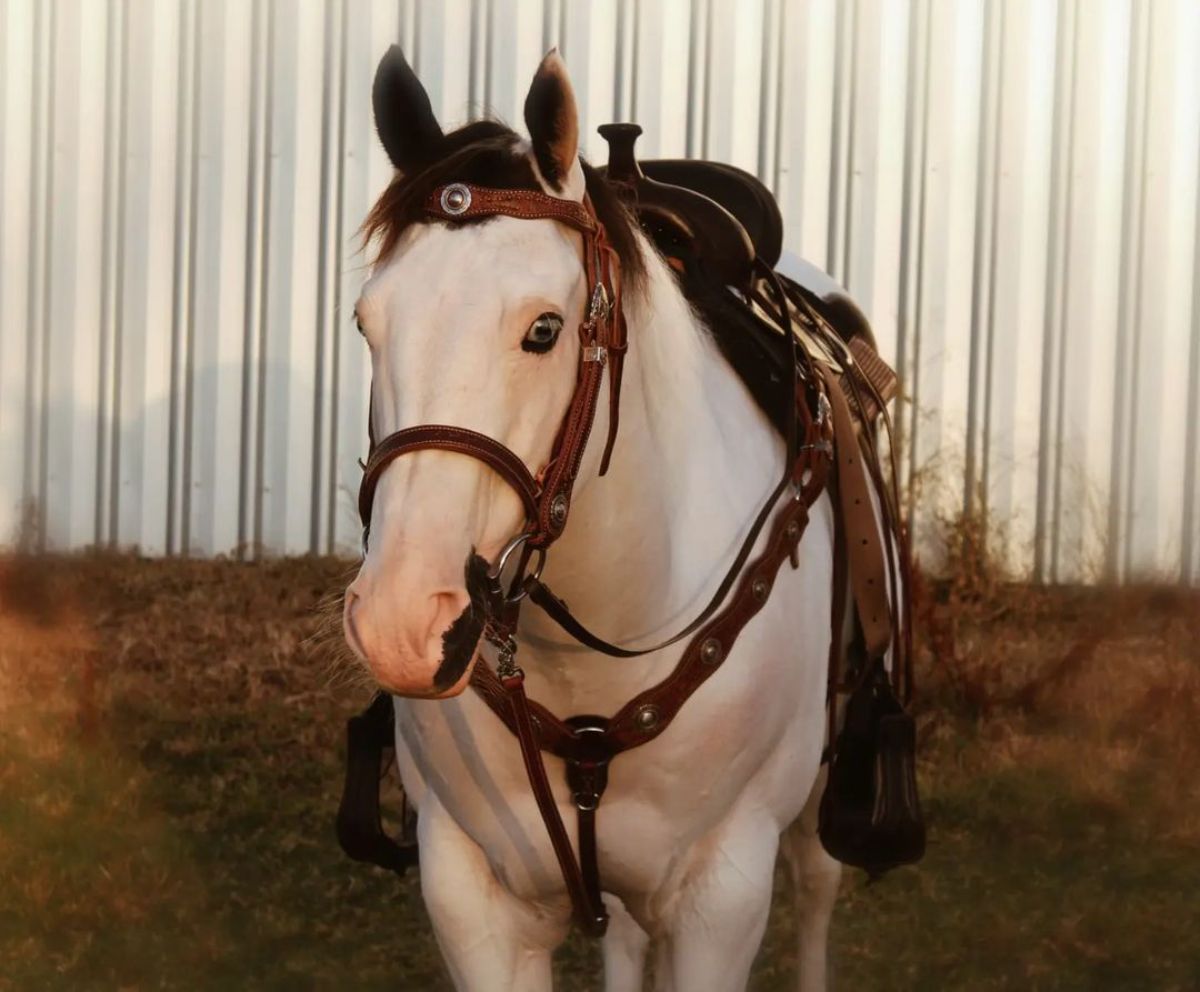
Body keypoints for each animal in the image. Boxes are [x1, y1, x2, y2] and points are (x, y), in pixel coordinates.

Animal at [340, 50, 844, 988]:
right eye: (366, 323)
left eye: (544, 328)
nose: (400, 624)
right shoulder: (473, 899)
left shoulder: (722, 897)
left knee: (821, 887)